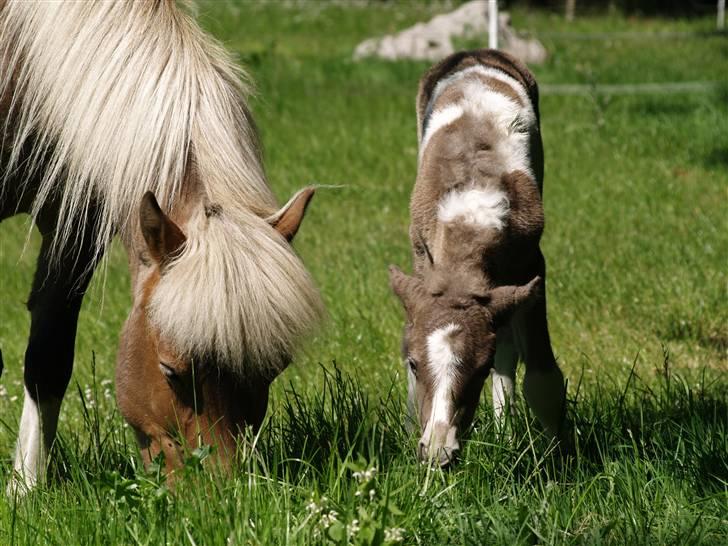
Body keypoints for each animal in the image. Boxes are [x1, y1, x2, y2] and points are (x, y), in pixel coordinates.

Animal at [0, 0, 324, 490]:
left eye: (275, 368)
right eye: (171, 370)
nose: (220, 495)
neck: (19, 63)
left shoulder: (76, 221)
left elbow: (48, 356)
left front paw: (26, 487)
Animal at [392, 49, 568, 464]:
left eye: (480, 370)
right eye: (414, 364)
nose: (438, 452)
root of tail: (478, 53)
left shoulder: (531, 267)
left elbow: (542, 381)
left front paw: (561, 462)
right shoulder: (423, 260)